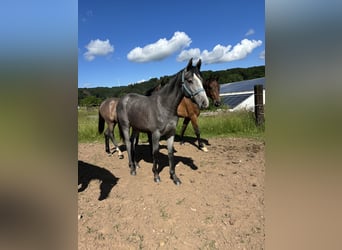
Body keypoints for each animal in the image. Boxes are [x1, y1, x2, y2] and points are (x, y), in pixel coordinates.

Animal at [117, 57, 208, 185]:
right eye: (190, 80)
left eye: (201, 79)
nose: (205, 103)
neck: (164, 106)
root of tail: (123, 99)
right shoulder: (155, 134)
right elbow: (155, 153)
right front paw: (156, 176)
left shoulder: (171, 133)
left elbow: (170, 154)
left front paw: (174, 177)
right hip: (125, 126)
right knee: (128, 143)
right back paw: (132, 169)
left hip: (136, 128)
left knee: (133, 142)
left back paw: (136, 164)